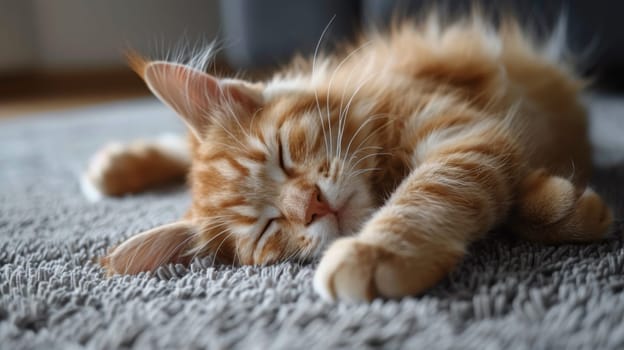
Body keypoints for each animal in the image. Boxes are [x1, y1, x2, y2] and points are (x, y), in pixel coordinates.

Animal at [89, 15, 616, 300]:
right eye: (267, 227)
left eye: (282, 154)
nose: (313, 205)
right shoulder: (477, 138)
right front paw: (563, 207)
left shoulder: (464, 133)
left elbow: (429, 193)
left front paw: (377, 251)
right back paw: (114, 168)